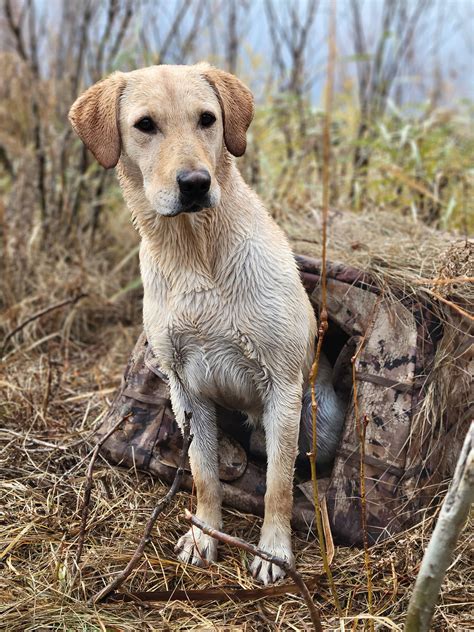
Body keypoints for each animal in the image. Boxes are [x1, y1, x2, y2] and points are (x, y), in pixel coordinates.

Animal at [70, 61, 344, 584]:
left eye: (207, 119)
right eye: (145, 125)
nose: (195, 183)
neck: (195, 253)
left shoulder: (282, 386)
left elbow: (278, 484)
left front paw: (273, 552)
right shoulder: (186, 389)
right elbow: (203, 474)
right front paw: (204, 535)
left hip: (315, 417)